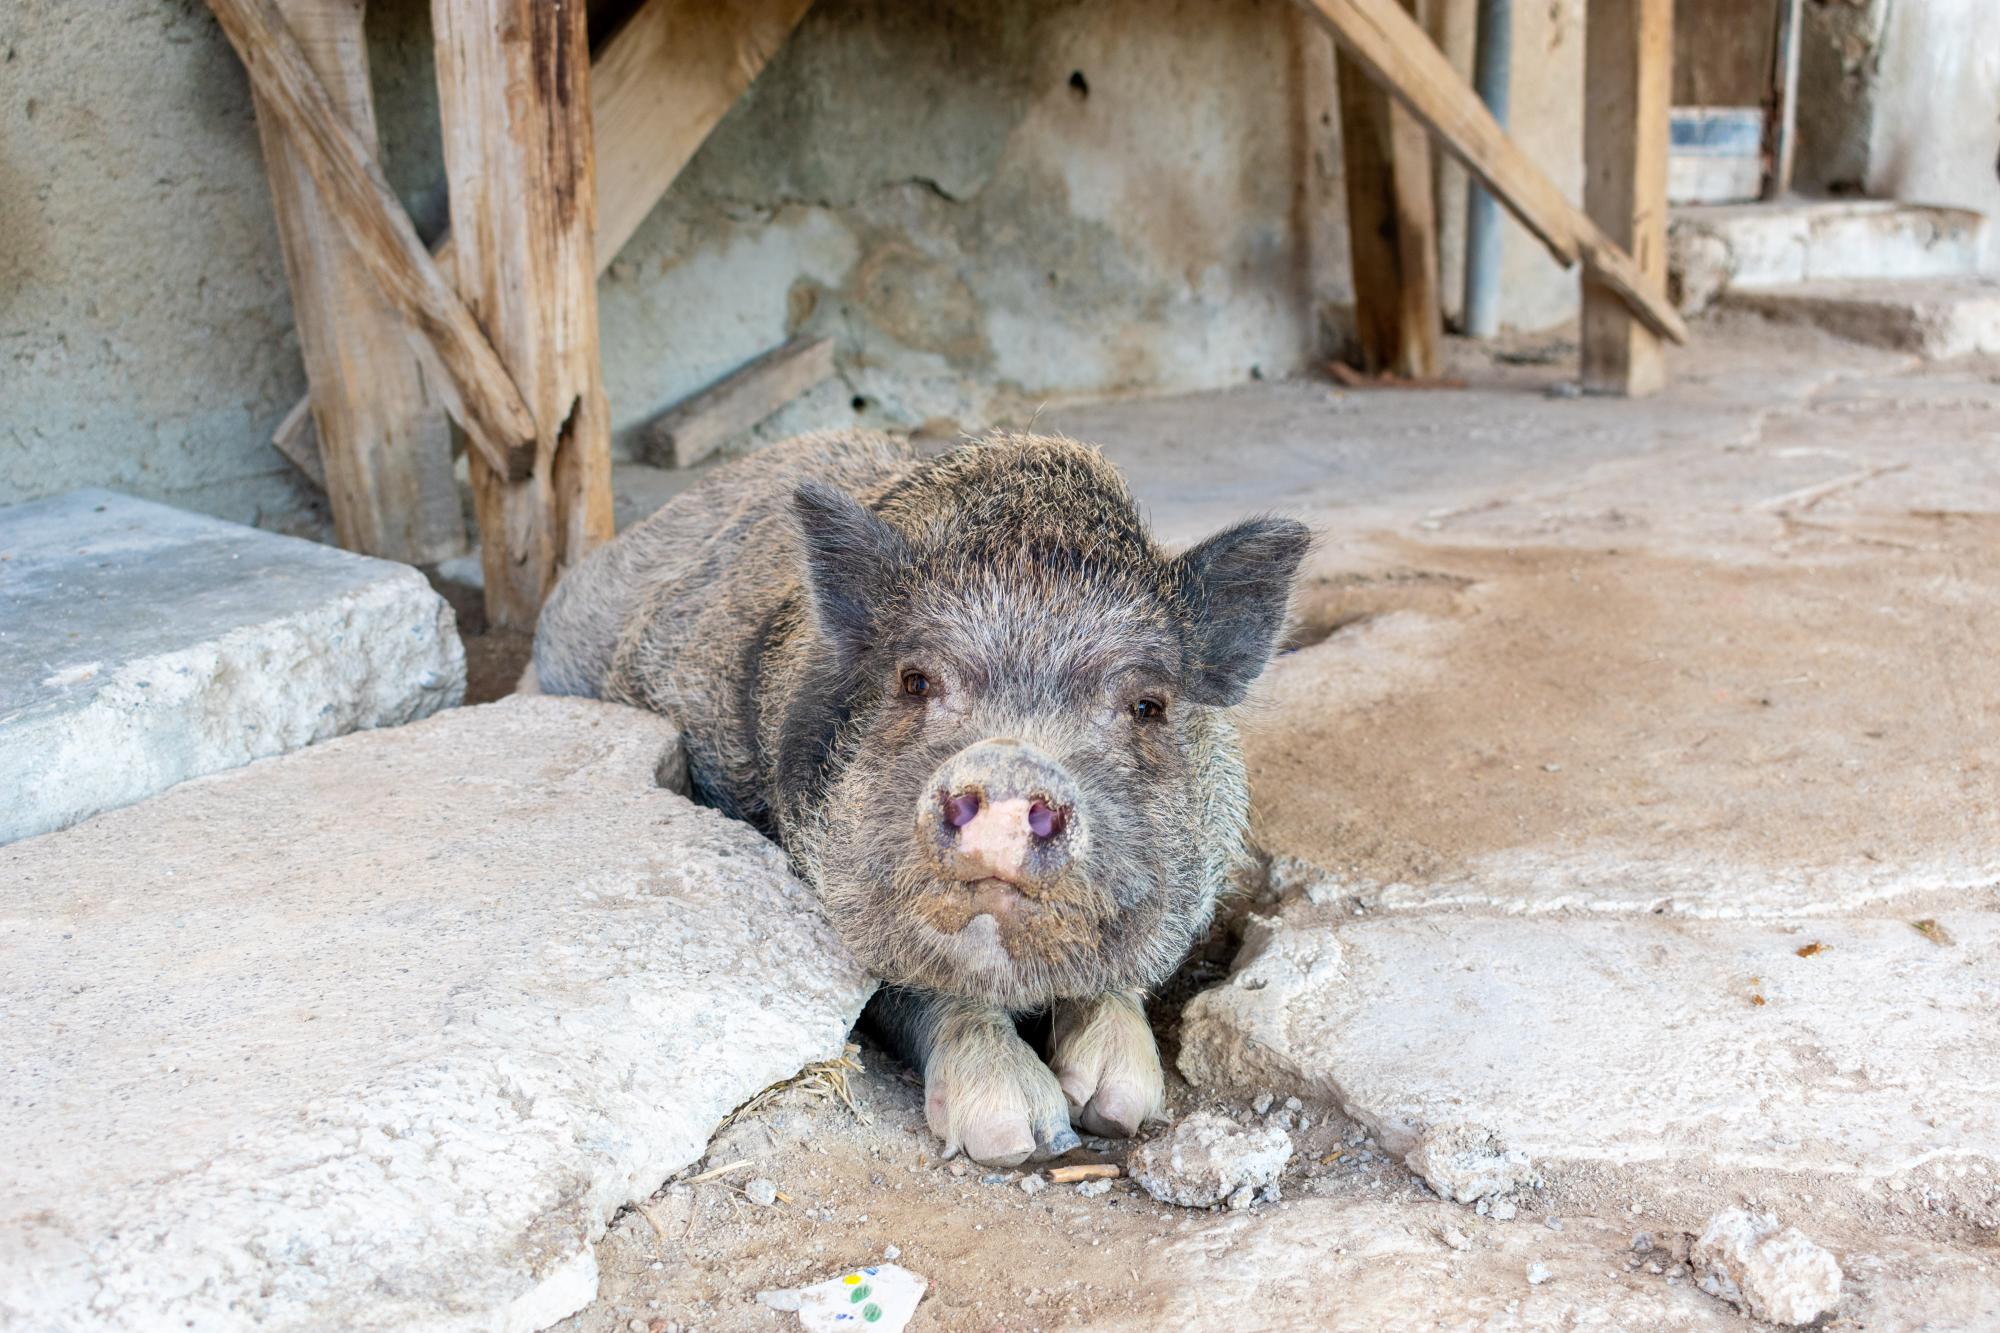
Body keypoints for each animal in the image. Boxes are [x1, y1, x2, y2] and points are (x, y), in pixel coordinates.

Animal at [536, 428, 1312, 1160]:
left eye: (1148, 705)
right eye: (915, 680)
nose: (1009, 765)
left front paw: (1116, 1109)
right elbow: (912, 988)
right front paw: (1023, 1137)